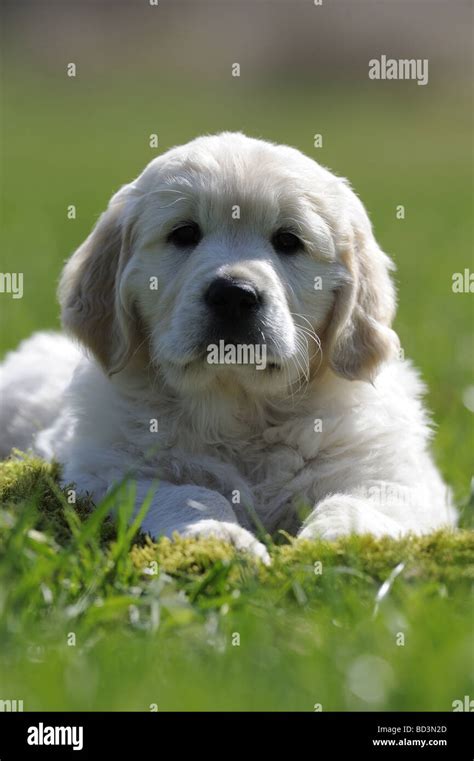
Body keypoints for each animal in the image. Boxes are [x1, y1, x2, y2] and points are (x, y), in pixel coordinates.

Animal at [0, 132, 456, 560]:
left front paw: (332, 544)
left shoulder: (395, 476)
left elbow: (353, 503)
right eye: (184, 233)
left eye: (288, 241)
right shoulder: (104, 470)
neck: (240, 408)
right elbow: (190, 493)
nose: (234, 295)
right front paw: (221, 536)